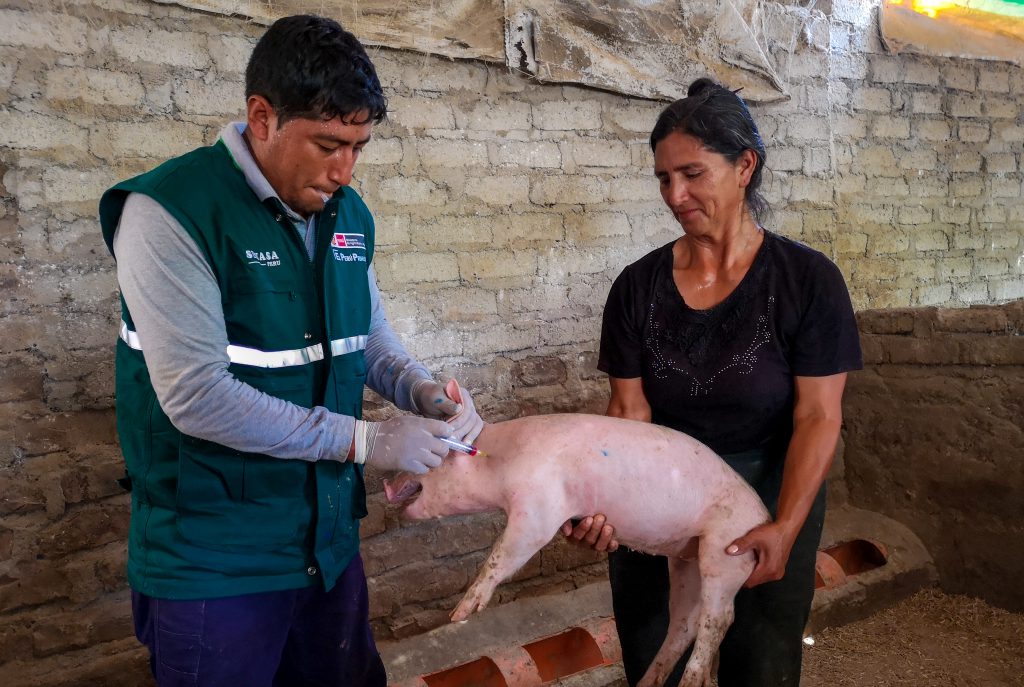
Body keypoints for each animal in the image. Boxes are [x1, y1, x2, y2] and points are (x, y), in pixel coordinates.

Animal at [385, 380, 770, 687]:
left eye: (435, 457)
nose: (388, 485)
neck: (497, 459)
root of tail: (764, 516)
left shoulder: (539, 508)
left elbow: (504, 553)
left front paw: (459, 615)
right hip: (687, 556)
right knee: (685, 621)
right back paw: (648, 682)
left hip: (726, 549)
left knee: (719, 618)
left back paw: (691, 680)